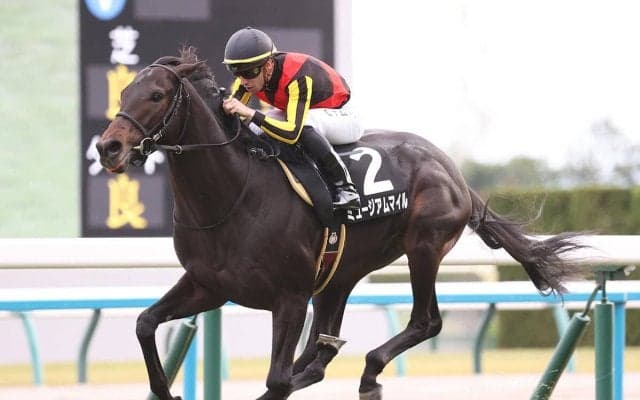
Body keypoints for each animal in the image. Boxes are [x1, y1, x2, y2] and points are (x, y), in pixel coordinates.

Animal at [96, 47, 584, 400]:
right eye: (121, 94)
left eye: (156, 96)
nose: (108, 148)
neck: (232, 196)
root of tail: (452, 170)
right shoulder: (209, 285)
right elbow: (144, 323)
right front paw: (165, 391)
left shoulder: (289, 297)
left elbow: (277, 379)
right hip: (339, 274)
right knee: (326, 345)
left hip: (423, 247)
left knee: (425, 322)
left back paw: (369, 372)